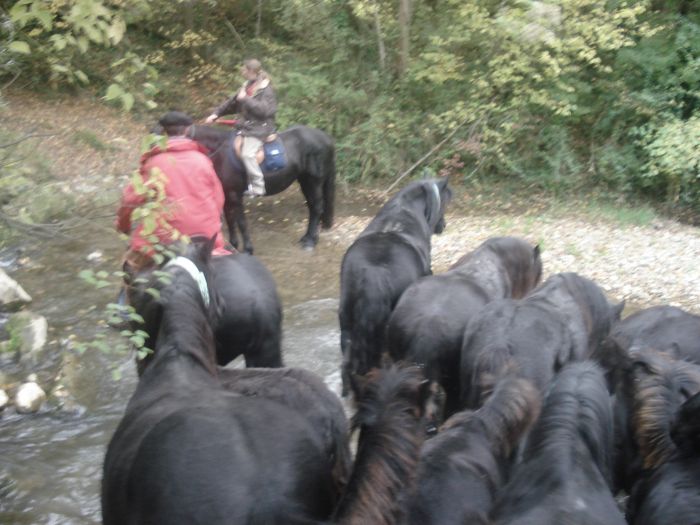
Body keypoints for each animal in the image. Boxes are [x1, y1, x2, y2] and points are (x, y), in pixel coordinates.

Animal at [189, 124, 336, 253]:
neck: (221, 151)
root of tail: (326, 138)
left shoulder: (235, 195)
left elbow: (241, 222)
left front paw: (248, 249)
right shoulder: (226, 194)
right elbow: (230, 220)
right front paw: (233, 245)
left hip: (314, 182)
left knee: (317, 208)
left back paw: (310, 242)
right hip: (304, 181)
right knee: (312, 208)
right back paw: (309, 238)